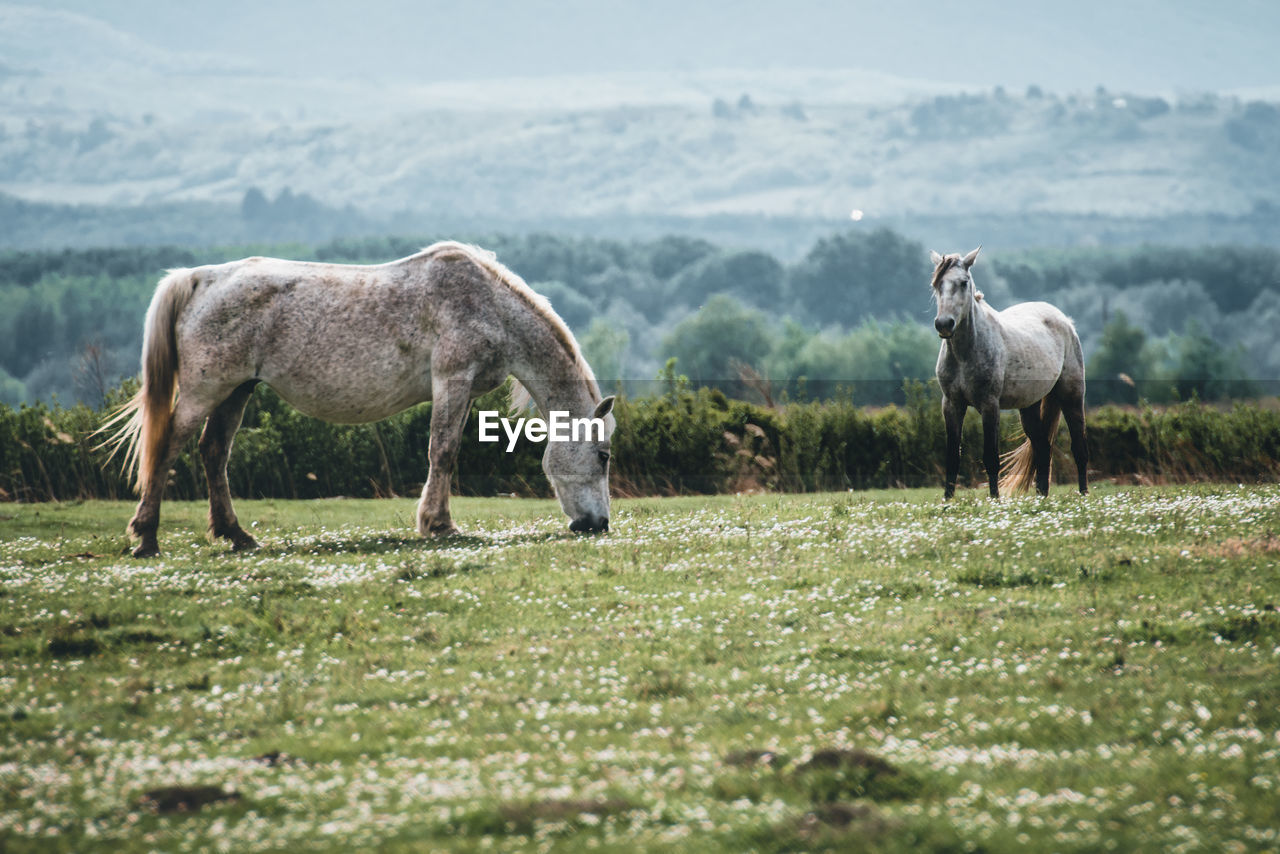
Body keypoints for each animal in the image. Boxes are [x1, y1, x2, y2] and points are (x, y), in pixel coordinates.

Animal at [104, 241, 614, 560]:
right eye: (604, 455)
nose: (598, 524)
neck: (488, 305)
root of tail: (202, 279)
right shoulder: (451, 380)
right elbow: (443, 452)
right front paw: (438, 525)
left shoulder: (463, 389)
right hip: (204, 391)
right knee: (168, 449)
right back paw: (146, 538)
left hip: (236, 391)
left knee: (214, 453)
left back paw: (237, 535)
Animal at [931, 247, 1090, 501]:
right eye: (937, 284)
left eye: (964, 282)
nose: (944, 324)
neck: (966, 353)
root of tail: (1065, 321)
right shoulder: (952, 405)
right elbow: (952, 458)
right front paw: (947, 501)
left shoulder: (989, 405)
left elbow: (991, 458)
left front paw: (994, 500)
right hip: (1029, 406)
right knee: (1042, 449)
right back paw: (1041, 497)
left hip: (1072, 396)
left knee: (1079, 449)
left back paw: (1083, 495)